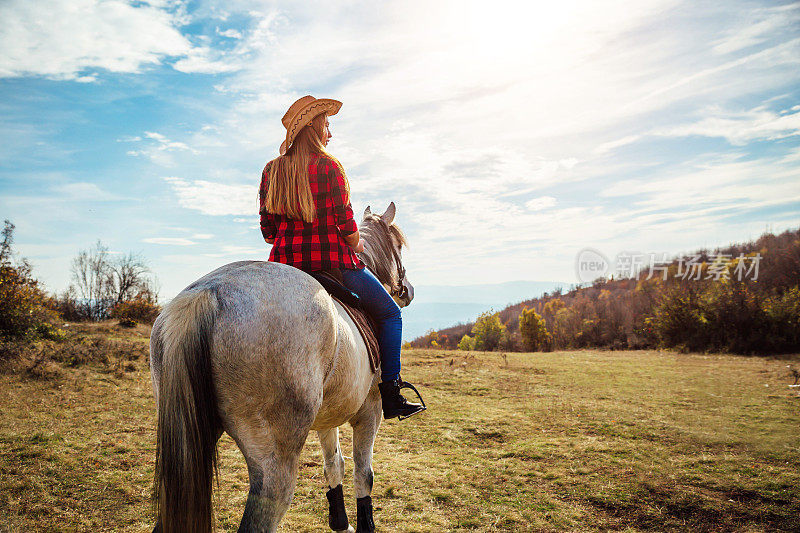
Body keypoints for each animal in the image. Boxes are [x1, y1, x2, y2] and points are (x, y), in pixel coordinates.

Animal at [147, 202, 416, 528]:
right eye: (398, 246)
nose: (407, 290)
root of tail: (208, 293)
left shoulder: (327, 415)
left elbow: (334, 465)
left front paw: (340, 521)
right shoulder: (370, 412)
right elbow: (364, 475)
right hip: (275, 463)